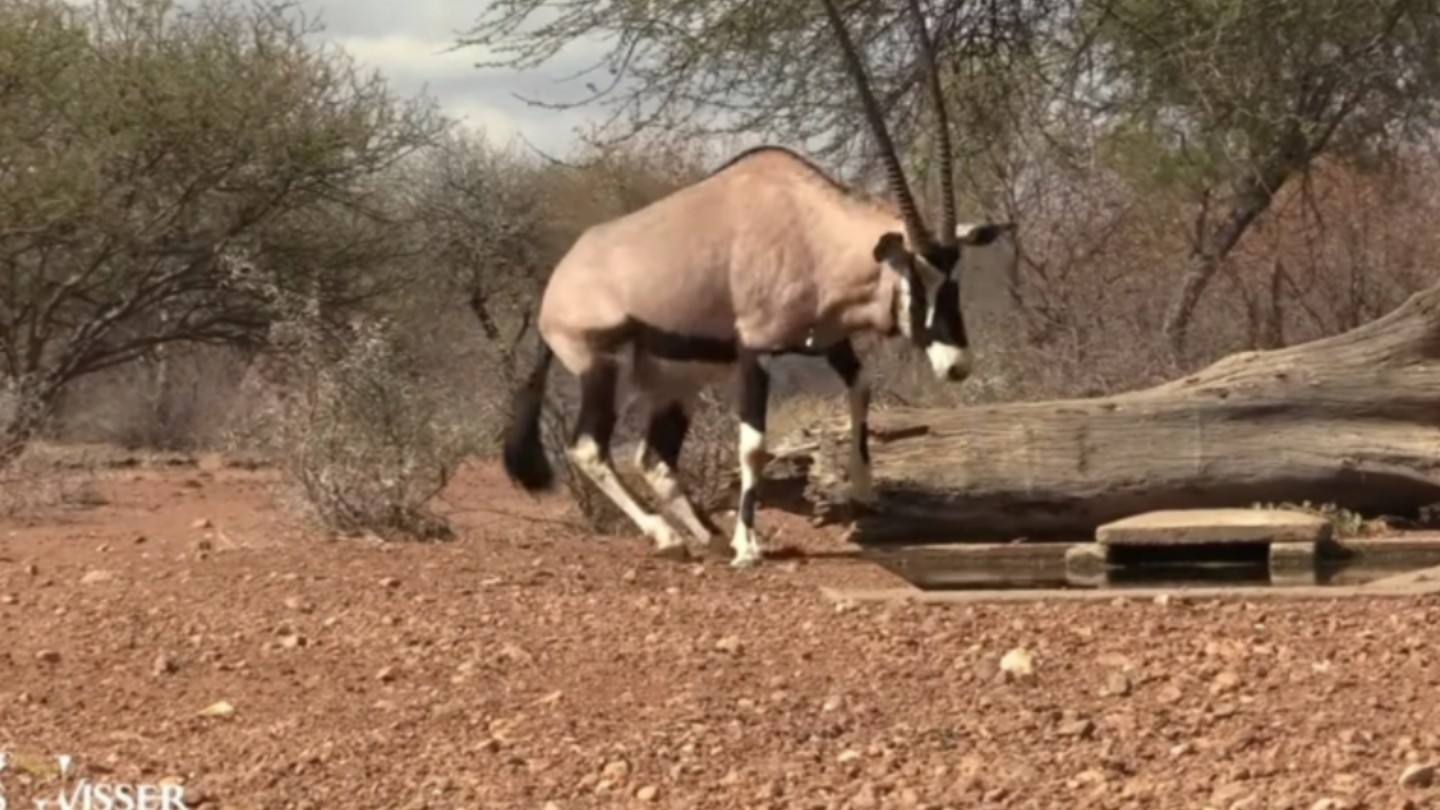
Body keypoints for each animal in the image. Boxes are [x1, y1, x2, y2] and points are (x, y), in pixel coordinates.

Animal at [501, 0, 1019, 567]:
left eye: (955, 279)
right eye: (917, 280)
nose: (956, 365)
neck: (808, 228)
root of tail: (555, 289)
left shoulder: (827, 339)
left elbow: (861, 386)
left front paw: (863, 491)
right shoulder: (756, 350)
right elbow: (753, 444)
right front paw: (747, 545)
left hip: (674, 383)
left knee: (654, 459)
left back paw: (706, 535)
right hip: (601, 365)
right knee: (590, 449)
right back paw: (669, 537)